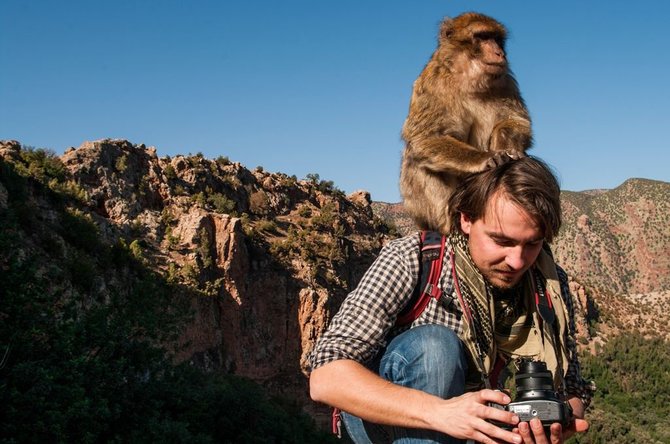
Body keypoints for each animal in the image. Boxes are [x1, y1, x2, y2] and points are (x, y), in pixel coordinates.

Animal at [400, 12, 536, 234]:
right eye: (482, 37)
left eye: (497, 39)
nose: (499, 53)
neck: (468, 79)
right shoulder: (432, 82)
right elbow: (424, 137)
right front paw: (485, 158)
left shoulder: (506, 80)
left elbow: (516, 121)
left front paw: (506, 147)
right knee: (416, 160)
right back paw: (449, 222)